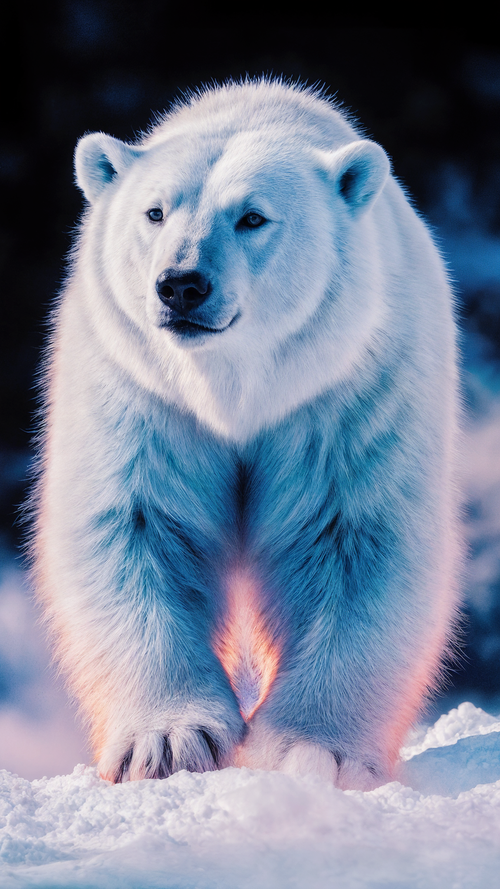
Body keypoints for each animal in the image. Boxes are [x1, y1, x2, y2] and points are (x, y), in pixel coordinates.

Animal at [32, 78, 461, 791]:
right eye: (154, 212)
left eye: (253, 217)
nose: (181, 285)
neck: (236, 391)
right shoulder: (143, 392)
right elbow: (135, 523)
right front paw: (168, 744)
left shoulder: (344, 393)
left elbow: (355, 539)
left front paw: (315, 752)